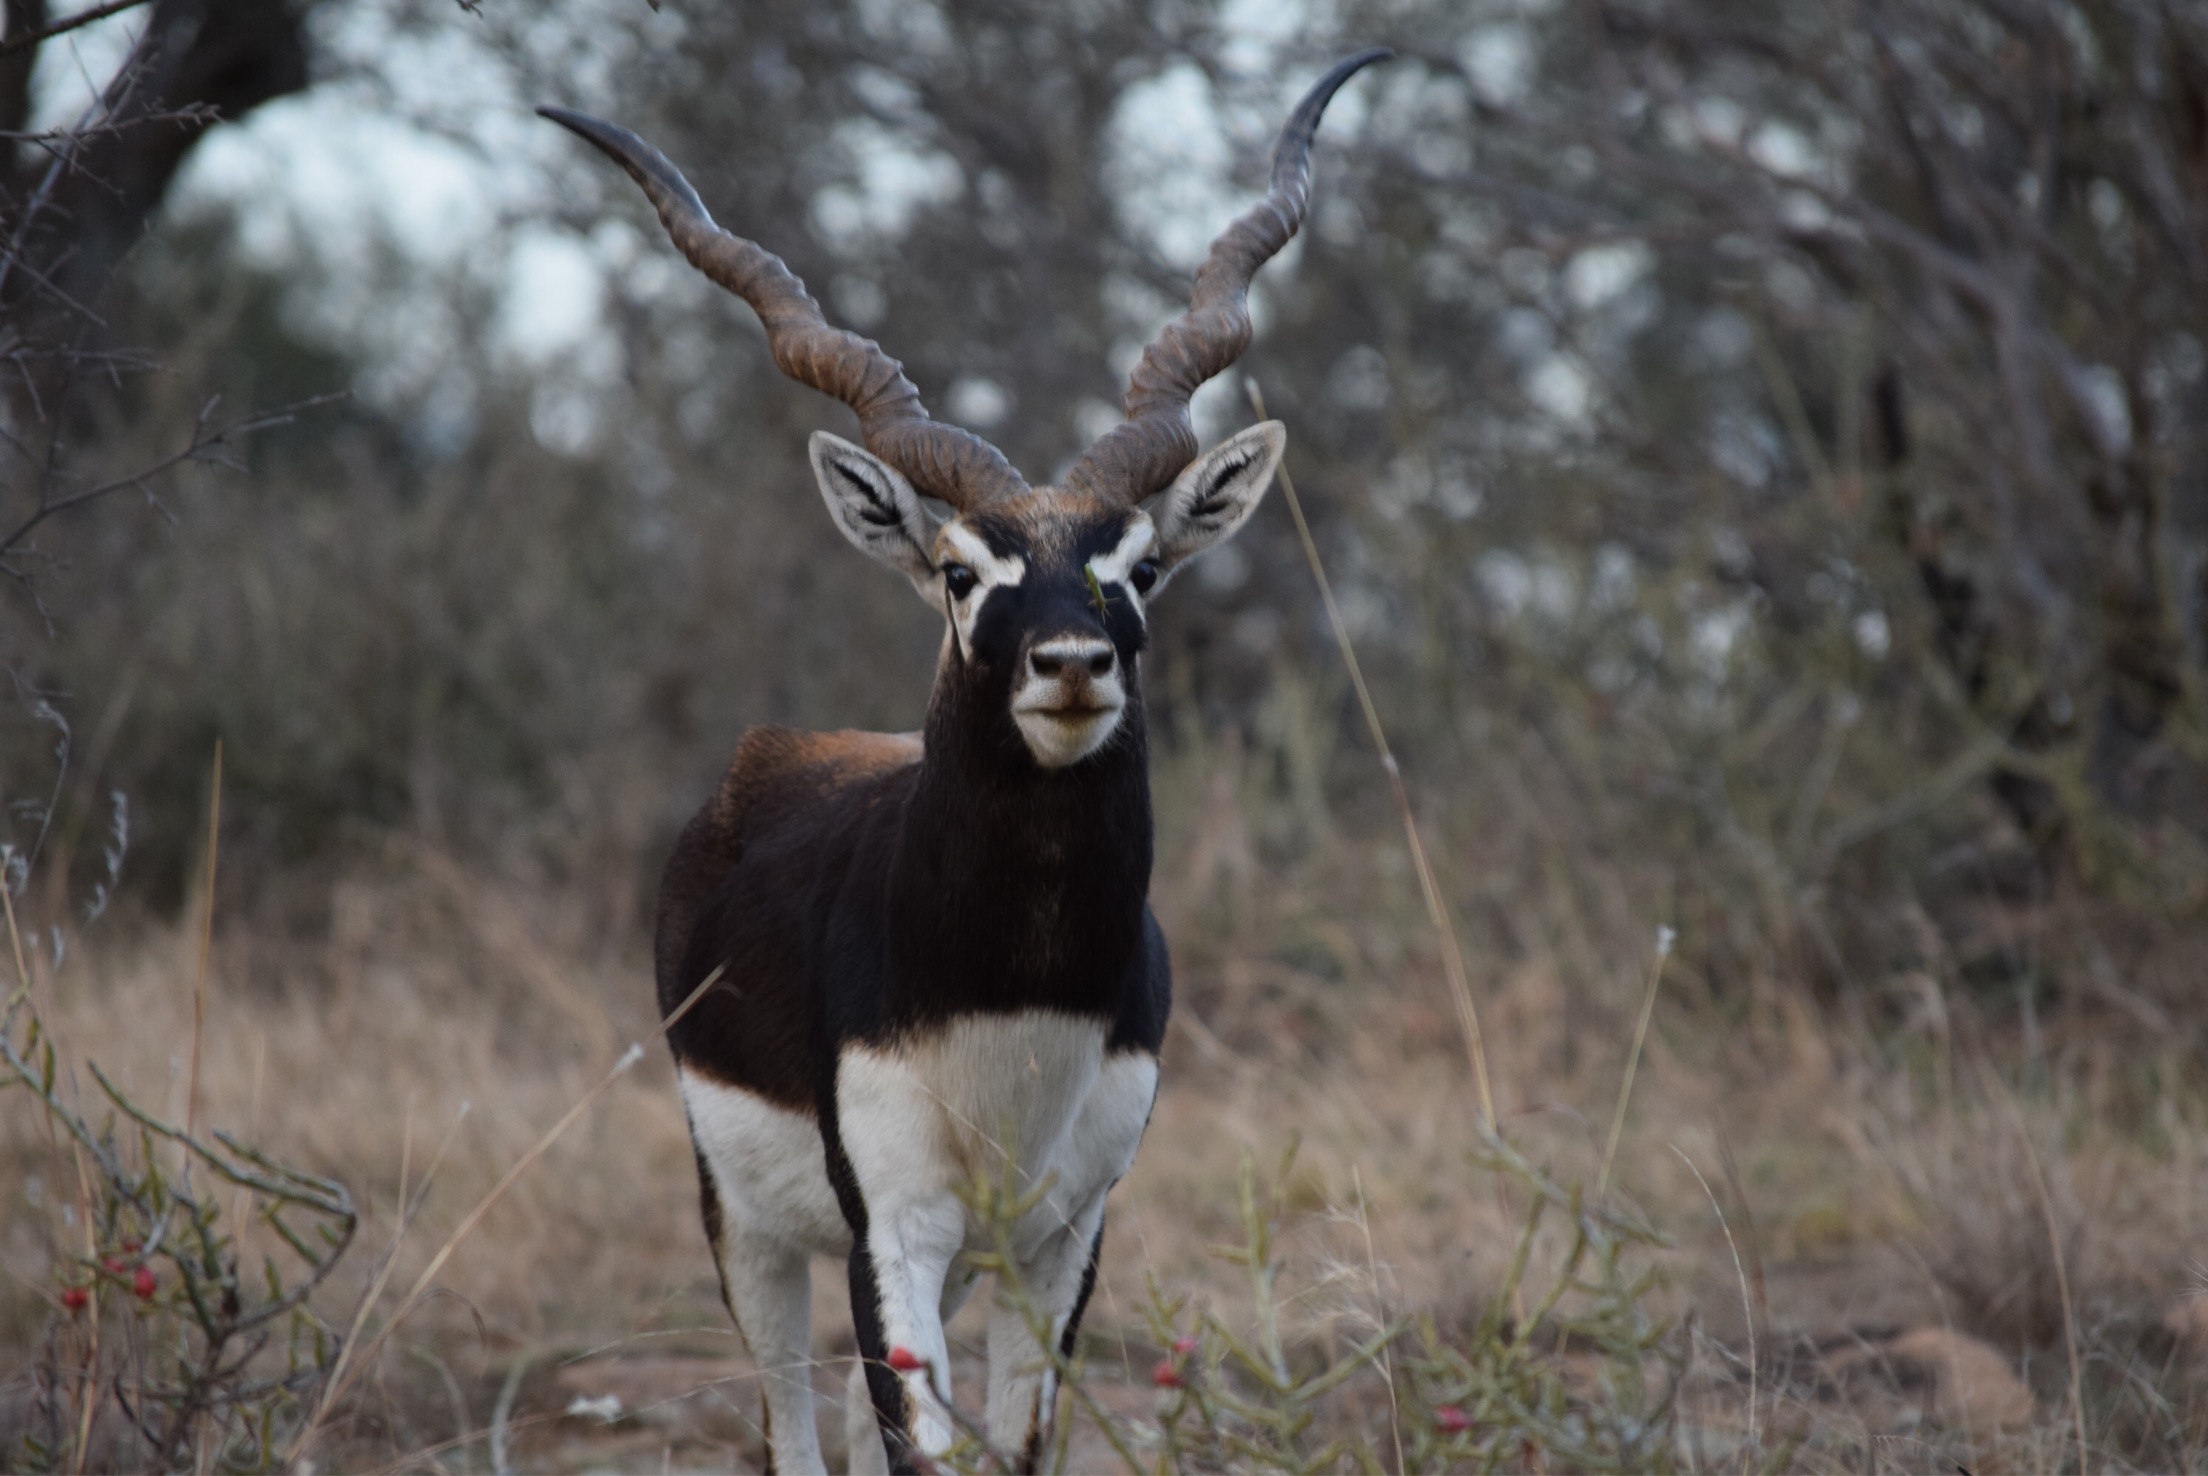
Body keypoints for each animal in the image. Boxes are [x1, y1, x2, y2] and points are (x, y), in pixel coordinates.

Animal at [543, 48, 1386, 1476]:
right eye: (957, 570)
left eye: (1136, 566)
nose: (1070, 664)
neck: (1010, 999)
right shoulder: (894, 1233)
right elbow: (916, 1450)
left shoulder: (1066, 1238)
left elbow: (1028, 1440)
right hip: (747, 1228)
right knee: (789, 1423)